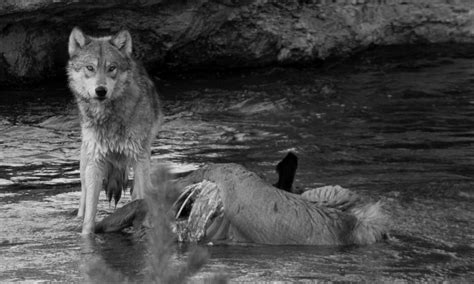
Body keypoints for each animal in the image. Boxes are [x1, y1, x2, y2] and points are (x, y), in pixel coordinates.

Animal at [66, 27, 163, 234]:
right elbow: (89, 216)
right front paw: (86, 235)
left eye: (112, 68)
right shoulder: (95, 163)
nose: (101, 90)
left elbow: (142, 197)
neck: (109, 117)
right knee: (83, 200)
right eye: (90, 68)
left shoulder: (139, 157)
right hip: (85, 166)